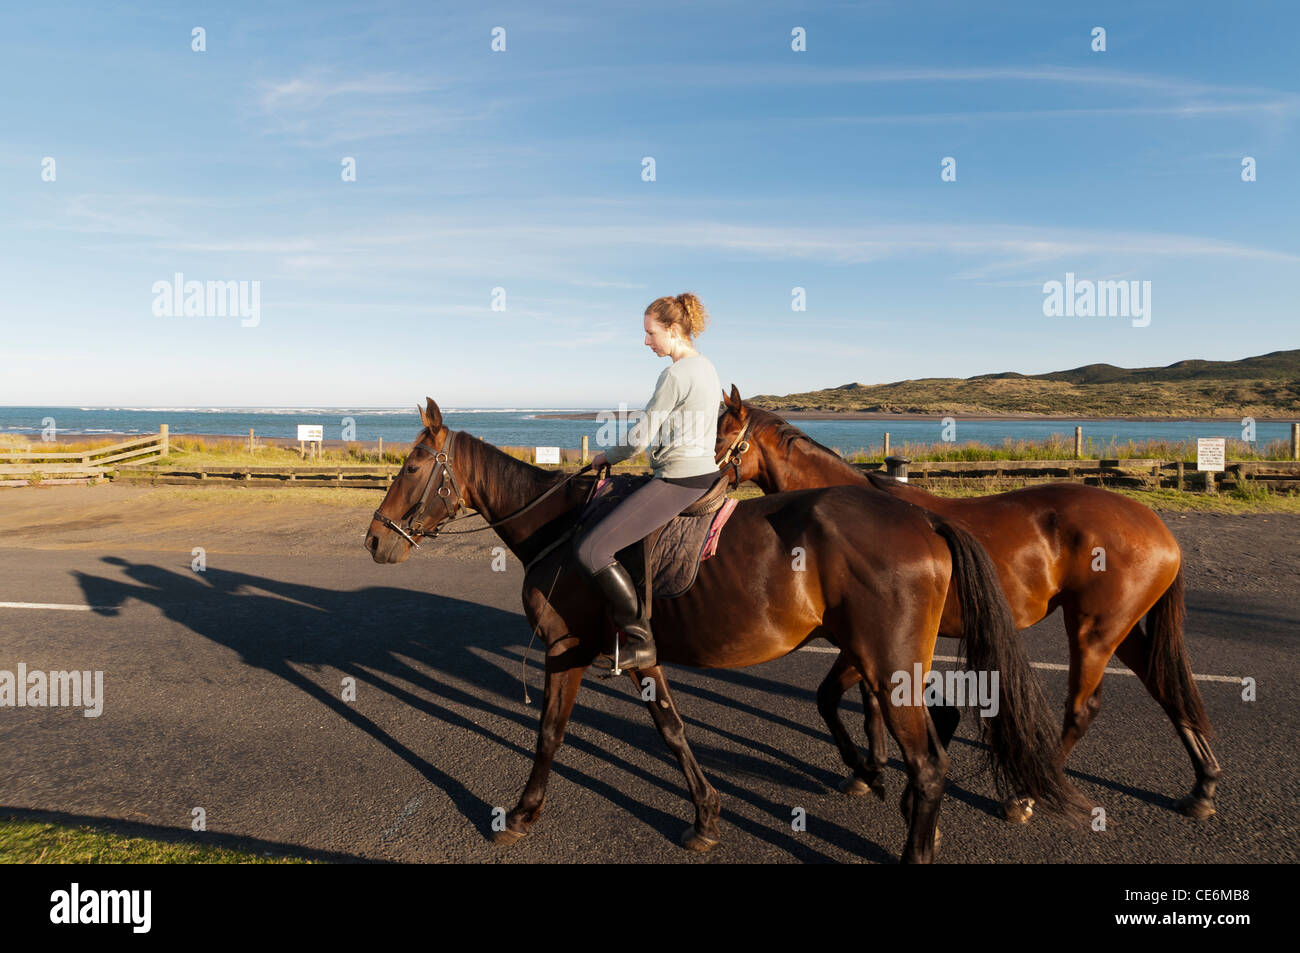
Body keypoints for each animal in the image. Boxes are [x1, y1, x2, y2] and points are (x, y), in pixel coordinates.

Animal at [364, 397, 1086, 858]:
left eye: (410, 468)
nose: (375, 540)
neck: (560, 530)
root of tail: (923, 517)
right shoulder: (632, 653)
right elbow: (669, 729)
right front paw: (706, 816)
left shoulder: (566, 649)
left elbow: (549, 734)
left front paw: (519, 812)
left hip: (890, 662)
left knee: (931, 764)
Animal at [717, 384, 1222, 816]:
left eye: (720, 434)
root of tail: (1158, 528)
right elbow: (868, 702)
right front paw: (871, 768)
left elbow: (842, 697)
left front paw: (869, 769)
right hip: (1120, 628)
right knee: (1165, 685)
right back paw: (1203, 784)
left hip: (1093, 631)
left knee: (1083, 709)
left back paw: (1026, 795)